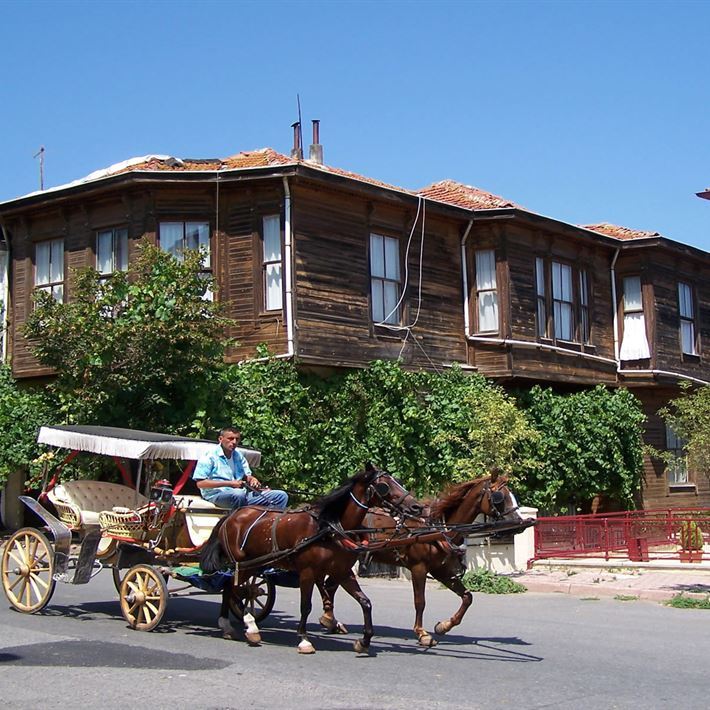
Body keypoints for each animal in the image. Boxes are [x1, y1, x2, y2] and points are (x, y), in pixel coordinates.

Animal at [200, 468, 422, 656]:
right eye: (385, 485)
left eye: (397, 481)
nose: (417, 506)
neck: (329, 527)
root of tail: (231, 515)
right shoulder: (307, 571)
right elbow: (305, 605)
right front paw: (304, 640)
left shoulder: (342, 572)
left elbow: (365, 602)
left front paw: (364, 641)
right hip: (243, 563)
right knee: (235, 589)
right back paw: (247, 625)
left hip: (254, 564)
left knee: (233, 588)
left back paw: (234, 625)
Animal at [320, 472, 524, 652]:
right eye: (500, 497)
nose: (520, 522)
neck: (437, 528)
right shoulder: (419, 568)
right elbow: (420, 601)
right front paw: (422, 633)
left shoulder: (442, 571)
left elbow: (467, 597)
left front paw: (444, 626)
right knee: (329, 584)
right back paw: (329, 619)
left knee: (330, 585)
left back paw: (329, 620)